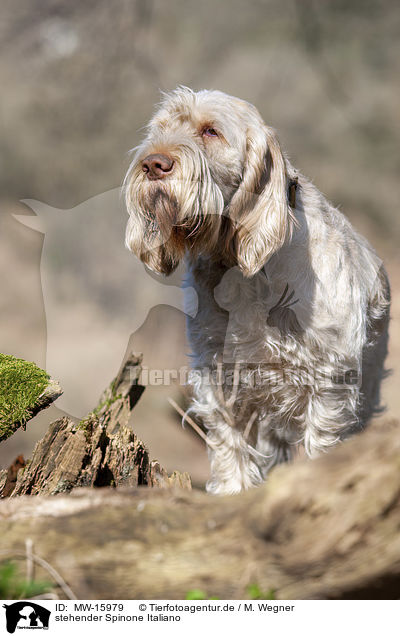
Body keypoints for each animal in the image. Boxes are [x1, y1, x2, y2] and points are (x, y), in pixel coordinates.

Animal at [123, 87, 390, 494]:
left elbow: (321, 446)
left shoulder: (329, 383)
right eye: (160, 129)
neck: (239, 267)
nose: (153, 164)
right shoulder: (220, 378)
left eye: (211, 131)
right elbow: (230, 451)